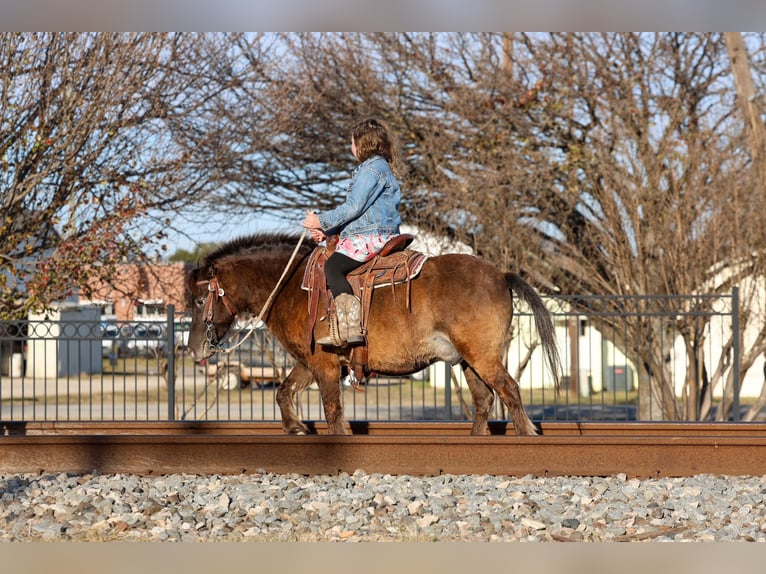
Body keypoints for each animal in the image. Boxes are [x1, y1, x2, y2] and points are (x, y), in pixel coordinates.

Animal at [186, 231, 561, 436]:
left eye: (201, 298)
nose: (193, 350)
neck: (291, 286)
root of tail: (500, 275)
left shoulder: (323, 367)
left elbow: (333, 411)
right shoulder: (309, 363)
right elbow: (283, 392)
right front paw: (296, 427)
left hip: (482, 357)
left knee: (510, 391)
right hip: (469, 361)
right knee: (484, 401)